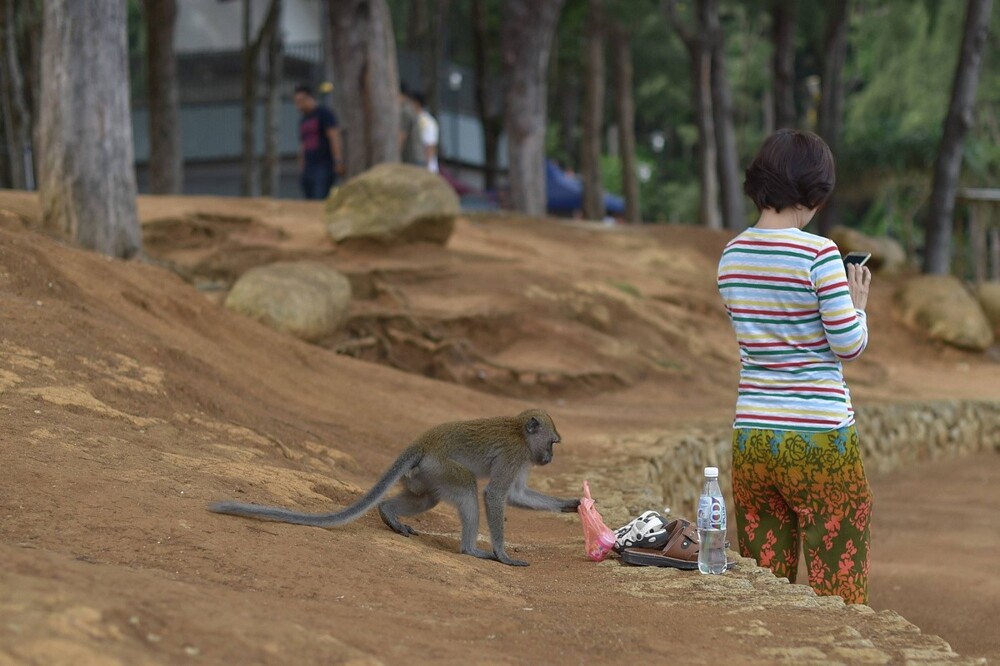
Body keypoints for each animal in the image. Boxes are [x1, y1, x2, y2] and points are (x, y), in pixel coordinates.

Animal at [211, 408, 580, 564]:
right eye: (553, 442)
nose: (549, 457)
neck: (520, 431)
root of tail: (423, 442)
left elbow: (516, 495)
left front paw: (572, 505)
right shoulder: (516, 454)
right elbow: (495, 495)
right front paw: (503, 554)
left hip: (426, 473)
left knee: (426, 498)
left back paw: (388, 513)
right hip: (440, 466)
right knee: (466, 487)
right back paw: (470, 550)